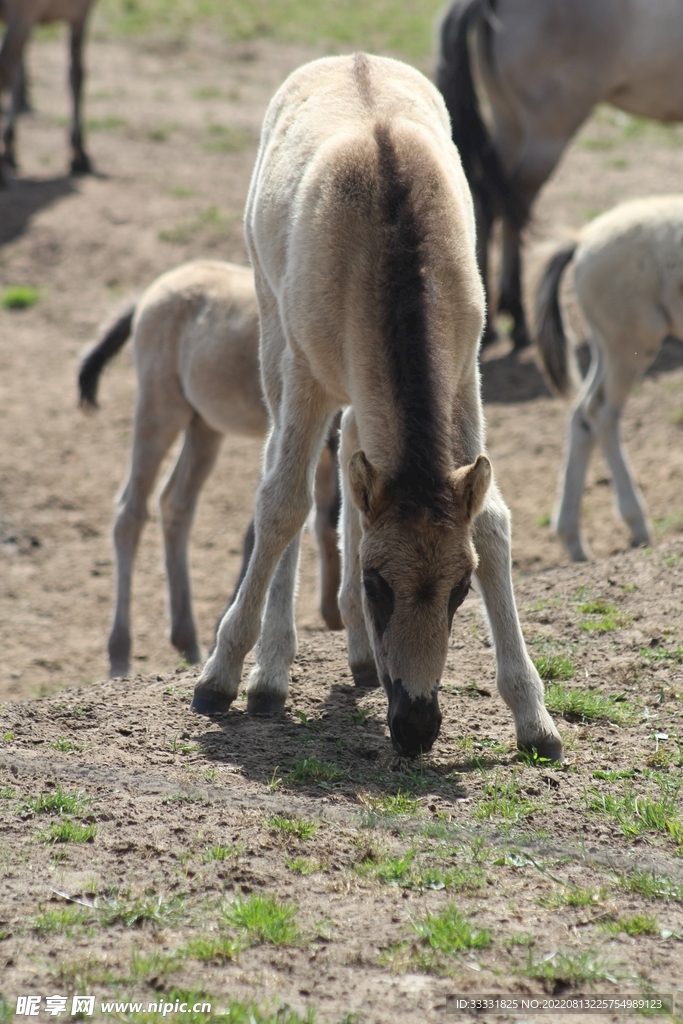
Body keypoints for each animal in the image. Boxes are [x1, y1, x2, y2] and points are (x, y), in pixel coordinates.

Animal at [0, 0, 95, 179]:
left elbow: (20, 76)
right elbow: (77, 75)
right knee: (6, 67)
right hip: (24, 13)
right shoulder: (81, 13)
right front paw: (78, 152)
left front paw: (10, 145)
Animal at [78, 260, 343, 679]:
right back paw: (120, 654)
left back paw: (187, 640)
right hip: (160, 409)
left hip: (204, 425)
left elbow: (324, 520)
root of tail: (155, 289)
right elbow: (286, 523)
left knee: (176, 504)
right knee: (130, 512)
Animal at [191, 53, 563, 762]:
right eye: (376, 584)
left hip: (366, 395)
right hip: (274, 334)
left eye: (460, 589)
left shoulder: (463, 375)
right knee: (285, 471)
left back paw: (360, 656)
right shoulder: (306, 376)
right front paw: (222, 675)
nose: (417, 724)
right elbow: (281, 505)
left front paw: (535, 717)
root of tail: (350, 57)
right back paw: (270, 671)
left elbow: (490, 519)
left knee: (352, 459)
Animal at [535, 195, 683, 563]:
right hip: (631, 345)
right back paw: (637, 522)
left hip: (606, 347)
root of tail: (582, 240)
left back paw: (572, 539)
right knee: (601, 414)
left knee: (581, 415)